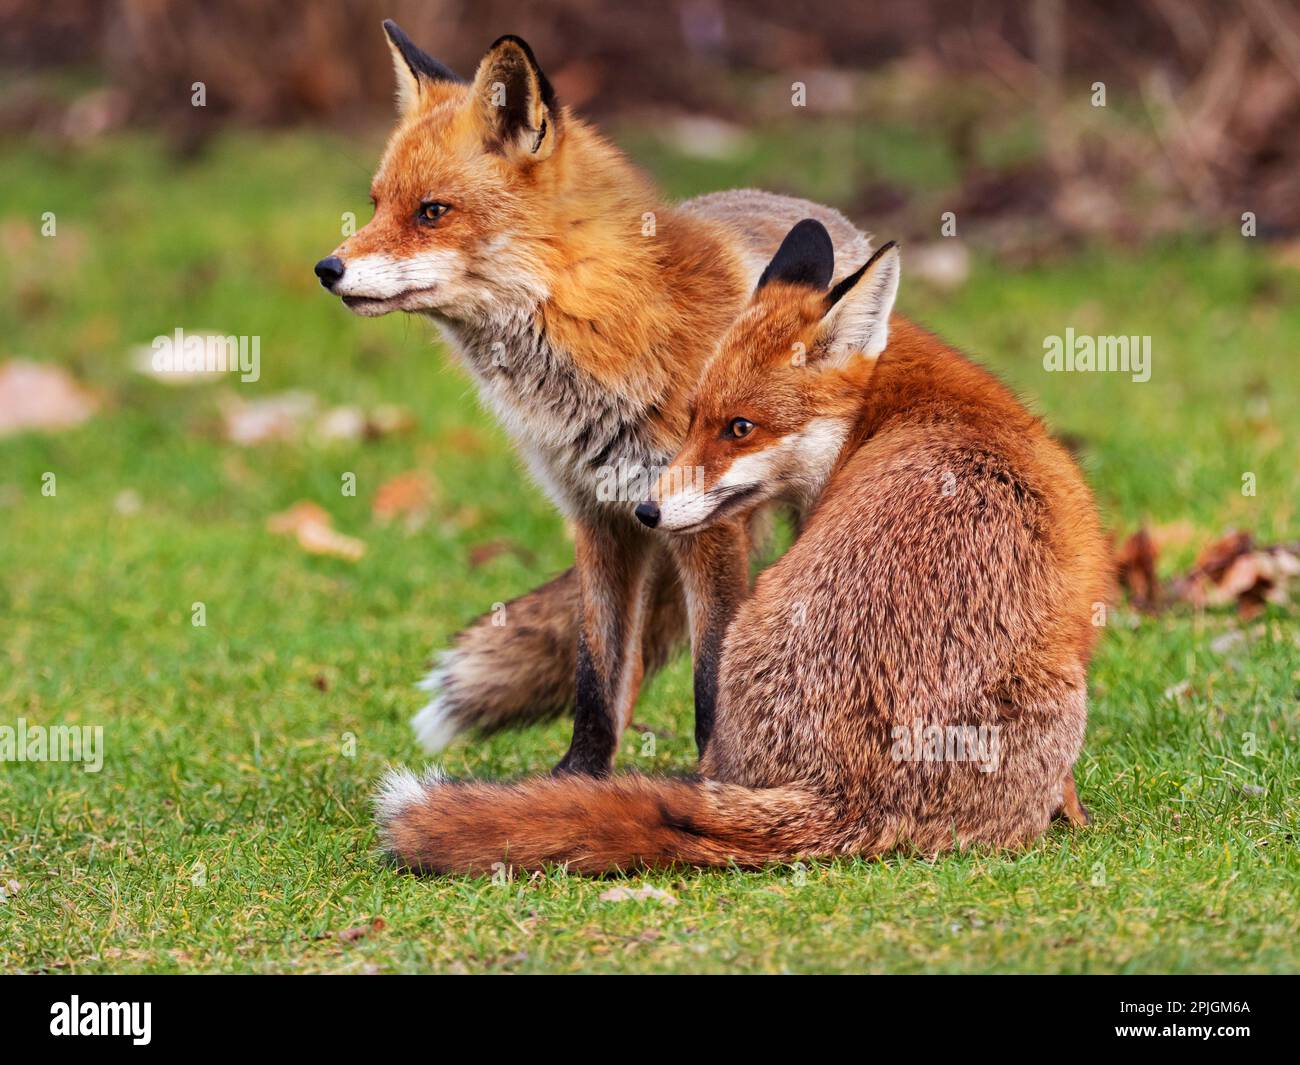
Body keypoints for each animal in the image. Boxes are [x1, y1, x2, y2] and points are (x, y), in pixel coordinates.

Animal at [312, 20, 873, 769]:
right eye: (376, 205)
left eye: (431, 212)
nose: (327, 269)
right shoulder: (598, 515)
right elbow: (596, 672)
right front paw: (579, 774)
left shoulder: (707, 524)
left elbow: (711, 670)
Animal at [374, 218, 1107, 873]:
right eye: (693, 417)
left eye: (740, 427)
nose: (645, 509)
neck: (889, 405)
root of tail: (842, 795)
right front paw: (1076, 817)